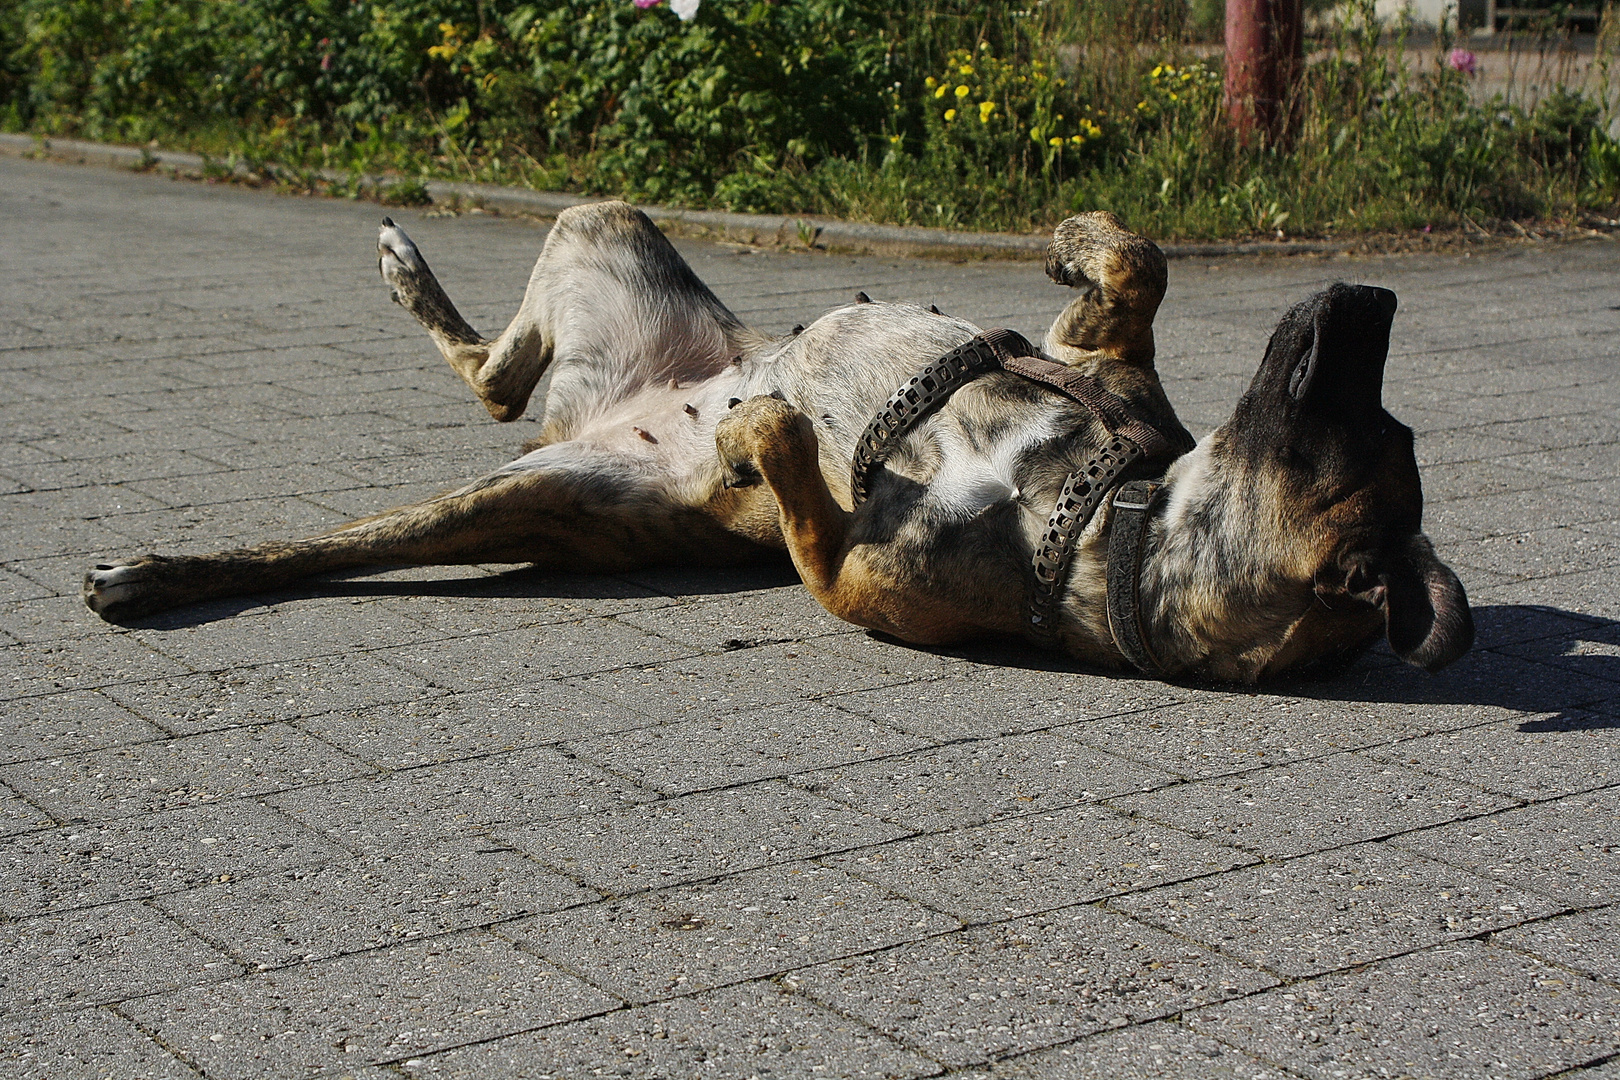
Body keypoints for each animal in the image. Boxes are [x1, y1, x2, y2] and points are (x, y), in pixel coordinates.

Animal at [82, 202, 1477, 683]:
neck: (1101, 522)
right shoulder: (1099, 368)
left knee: (445, 440)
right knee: (492, 366)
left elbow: (806, 487)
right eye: (1382, 417)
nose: (1374, 299)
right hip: (608, 226)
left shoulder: (852, 578)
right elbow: (1136, 262)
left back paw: (159, 575)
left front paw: (769, 430)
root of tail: (616, 413)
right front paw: (1077, 233)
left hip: (533, 494)